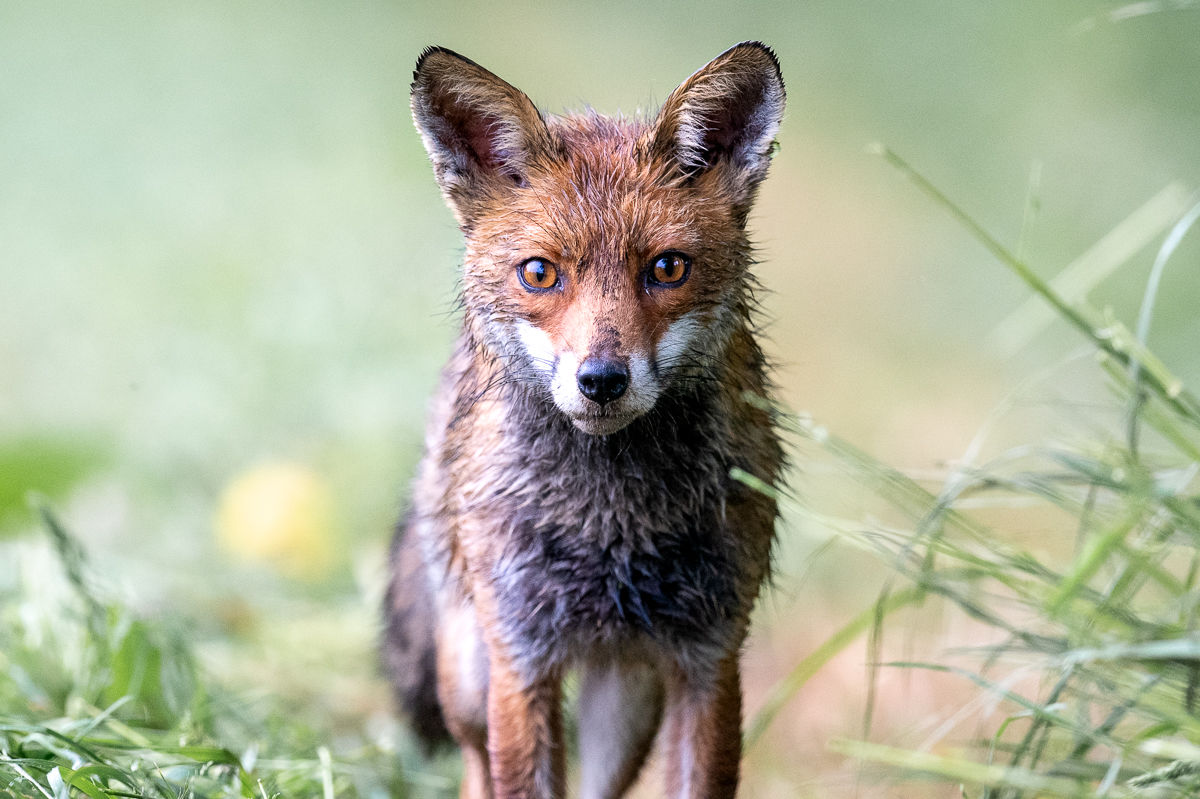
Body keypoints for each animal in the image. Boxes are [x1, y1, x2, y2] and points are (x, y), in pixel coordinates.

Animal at [383, 42, 786, 799]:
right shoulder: (522, 658)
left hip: (626, 701)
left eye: (668, 268)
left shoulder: (710, 659)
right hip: (471, 676)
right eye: (540, 273)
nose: (601, 380)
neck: (611, 522)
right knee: (474, 761)